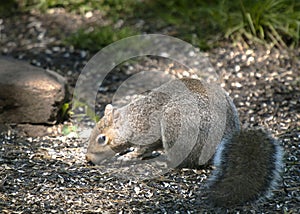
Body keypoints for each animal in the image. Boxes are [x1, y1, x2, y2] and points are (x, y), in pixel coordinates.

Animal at [85, 77, 282, 207]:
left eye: (102, 139)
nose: (88, 158)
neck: (132, 120)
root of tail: (225, 136)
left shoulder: (150, 131)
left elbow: (144, 148)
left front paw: (129, 155)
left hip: (176, 124)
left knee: (185, 160)